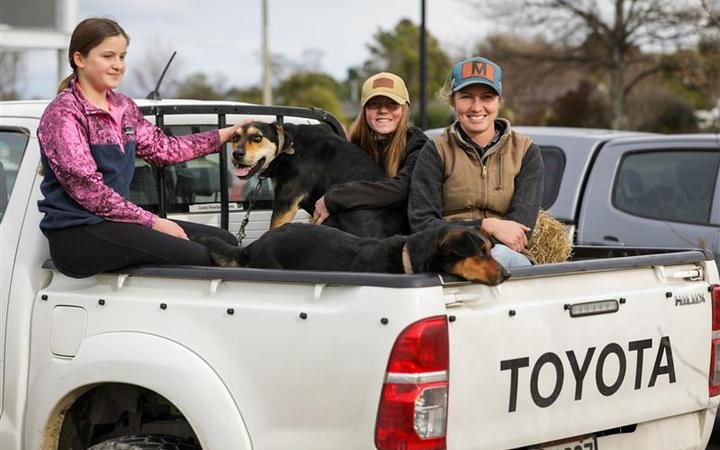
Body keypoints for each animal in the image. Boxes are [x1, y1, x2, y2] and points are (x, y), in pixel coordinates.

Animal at [232, 121, 408, 237]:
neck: (290, 148)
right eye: (234, 138)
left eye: (257, 138)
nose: (236, 154)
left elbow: (273, 228)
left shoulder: (286, 200)